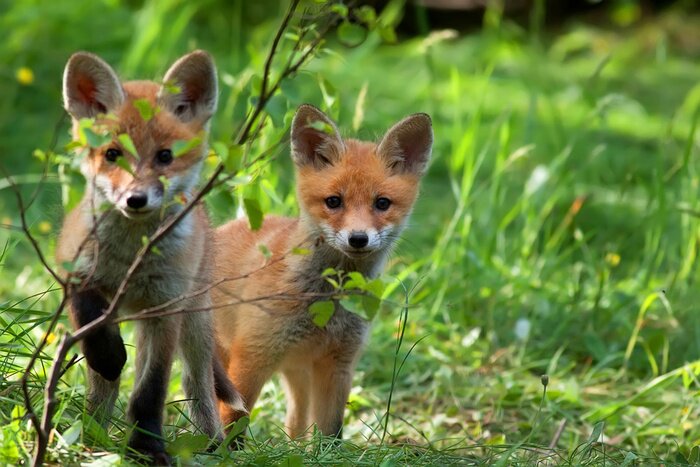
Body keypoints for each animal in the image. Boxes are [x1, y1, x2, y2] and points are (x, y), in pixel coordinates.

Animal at [56, 50, 242, 463]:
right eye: (112, 154)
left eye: (165, 156)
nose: (135, 199)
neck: (131, 258)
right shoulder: (77, 271)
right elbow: (93, 326)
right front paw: (109, 356)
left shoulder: (165, 307)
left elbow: (150, 390)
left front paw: (147, 448)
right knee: (103, 389)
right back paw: (92, 435)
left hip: (194, 323)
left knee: (197, 382)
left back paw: (212, 443)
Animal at [212, 104, 433, 440]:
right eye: (333, 201)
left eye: (382, 203)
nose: (358, 238)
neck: (327, 303)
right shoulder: (252, 355)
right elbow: (233, 422)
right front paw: (222, 450)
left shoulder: (339, 364)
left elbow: (330, 432)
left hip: (298, 372)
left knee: (296, 423)